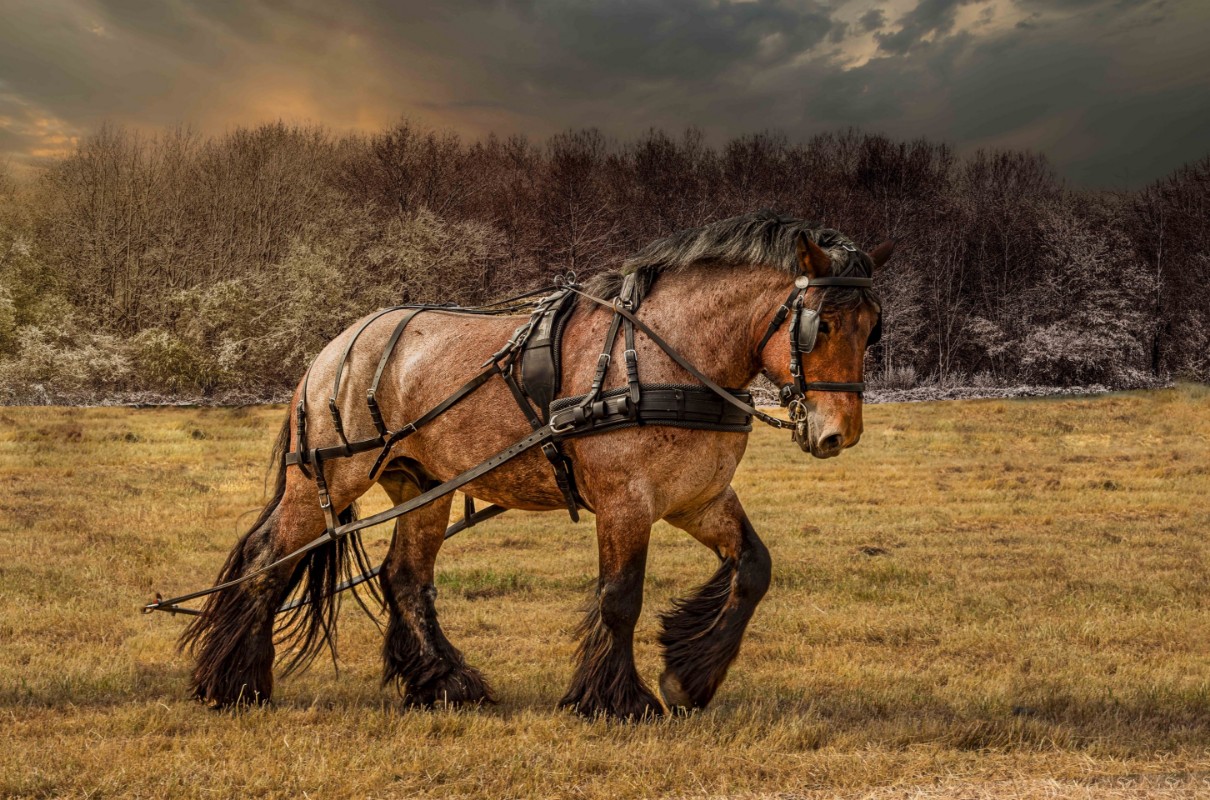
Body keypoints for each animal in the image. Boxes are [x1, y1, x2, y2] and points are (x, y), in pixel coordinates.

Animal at [178, 210, 892, 719]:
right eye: (821, 324)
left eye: (872, 326)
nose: (839, 434)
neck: (664, 357)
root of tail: (335, 347)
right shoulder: (625, 502)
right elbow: (620, 596)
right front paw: (618, 700)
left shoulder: (697, 499)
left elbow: (753, 569)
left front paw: (690, 675)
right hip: (325, 479)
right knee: (270, 562)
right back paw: (235, 682)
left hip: (425, 485)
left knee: (404, 578)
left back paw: (447, 685)